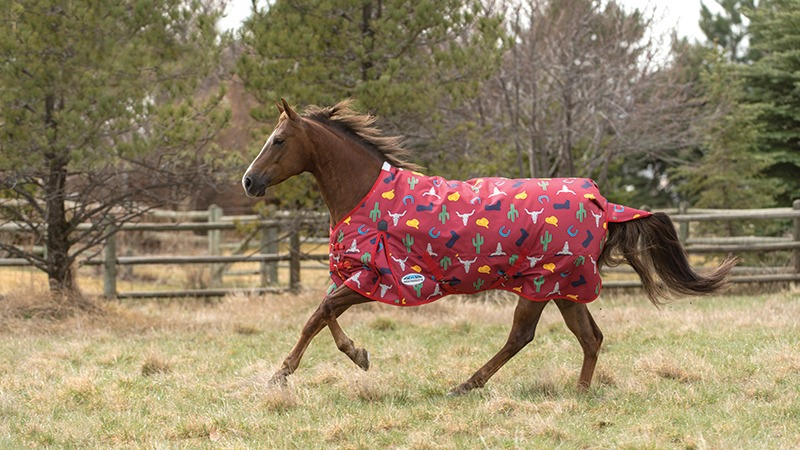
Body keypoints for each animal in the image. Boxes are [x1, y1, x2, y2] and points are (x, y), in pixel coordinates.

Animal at [242, 99, 736, 395]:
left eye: (278, 140)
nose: (249, 181)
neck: (366, 194)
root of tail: (600, 202)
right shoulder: (366, 278)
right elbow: (318, 315)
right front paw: (292, 370)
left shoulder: (381, 278)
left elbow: (321, 313)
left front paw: (327, 363)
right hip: (565, 289)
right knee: (590, 337)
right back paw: (578, 394)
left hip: (542, 285)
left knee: (523, 336)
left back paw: (467, 384)